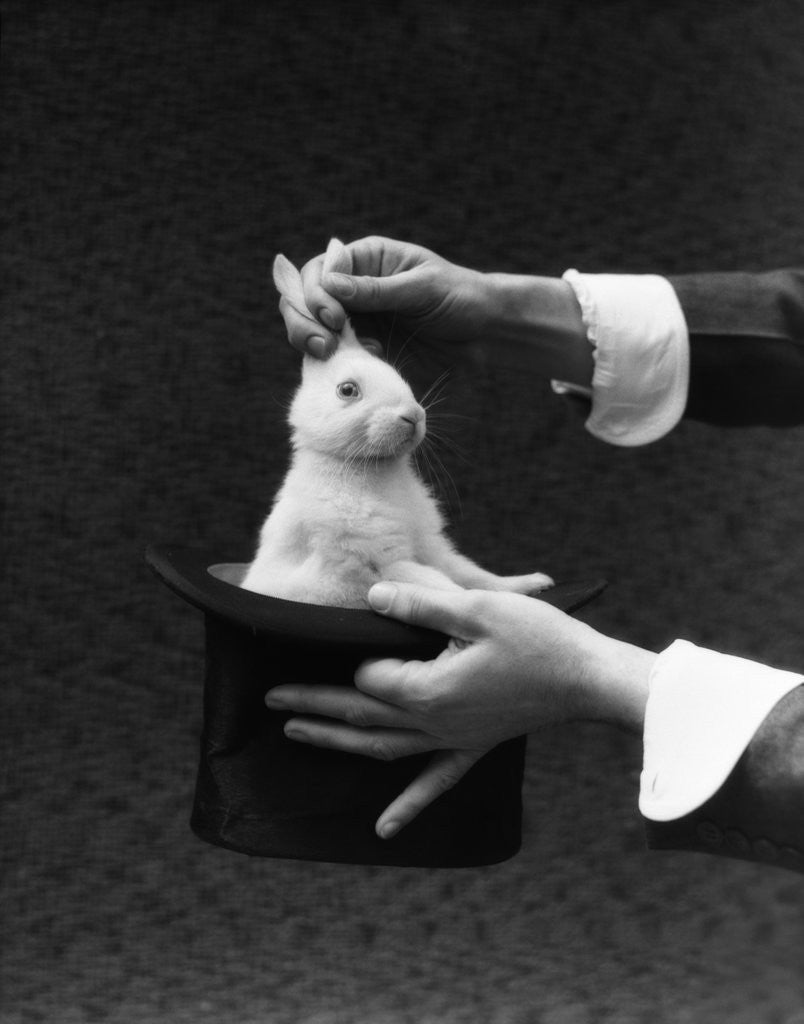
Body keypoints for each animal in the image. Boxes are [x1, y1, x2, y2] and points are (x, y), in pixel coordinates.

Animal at [240, 239, 553, 608]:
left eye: (394, 372)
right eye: (348, 390)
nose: (414, 415)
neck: (373, 468)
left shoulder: (432, 549)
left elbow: (476, 575)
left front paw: (532, 582)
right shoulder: (387, 561)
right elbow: (448, 586)